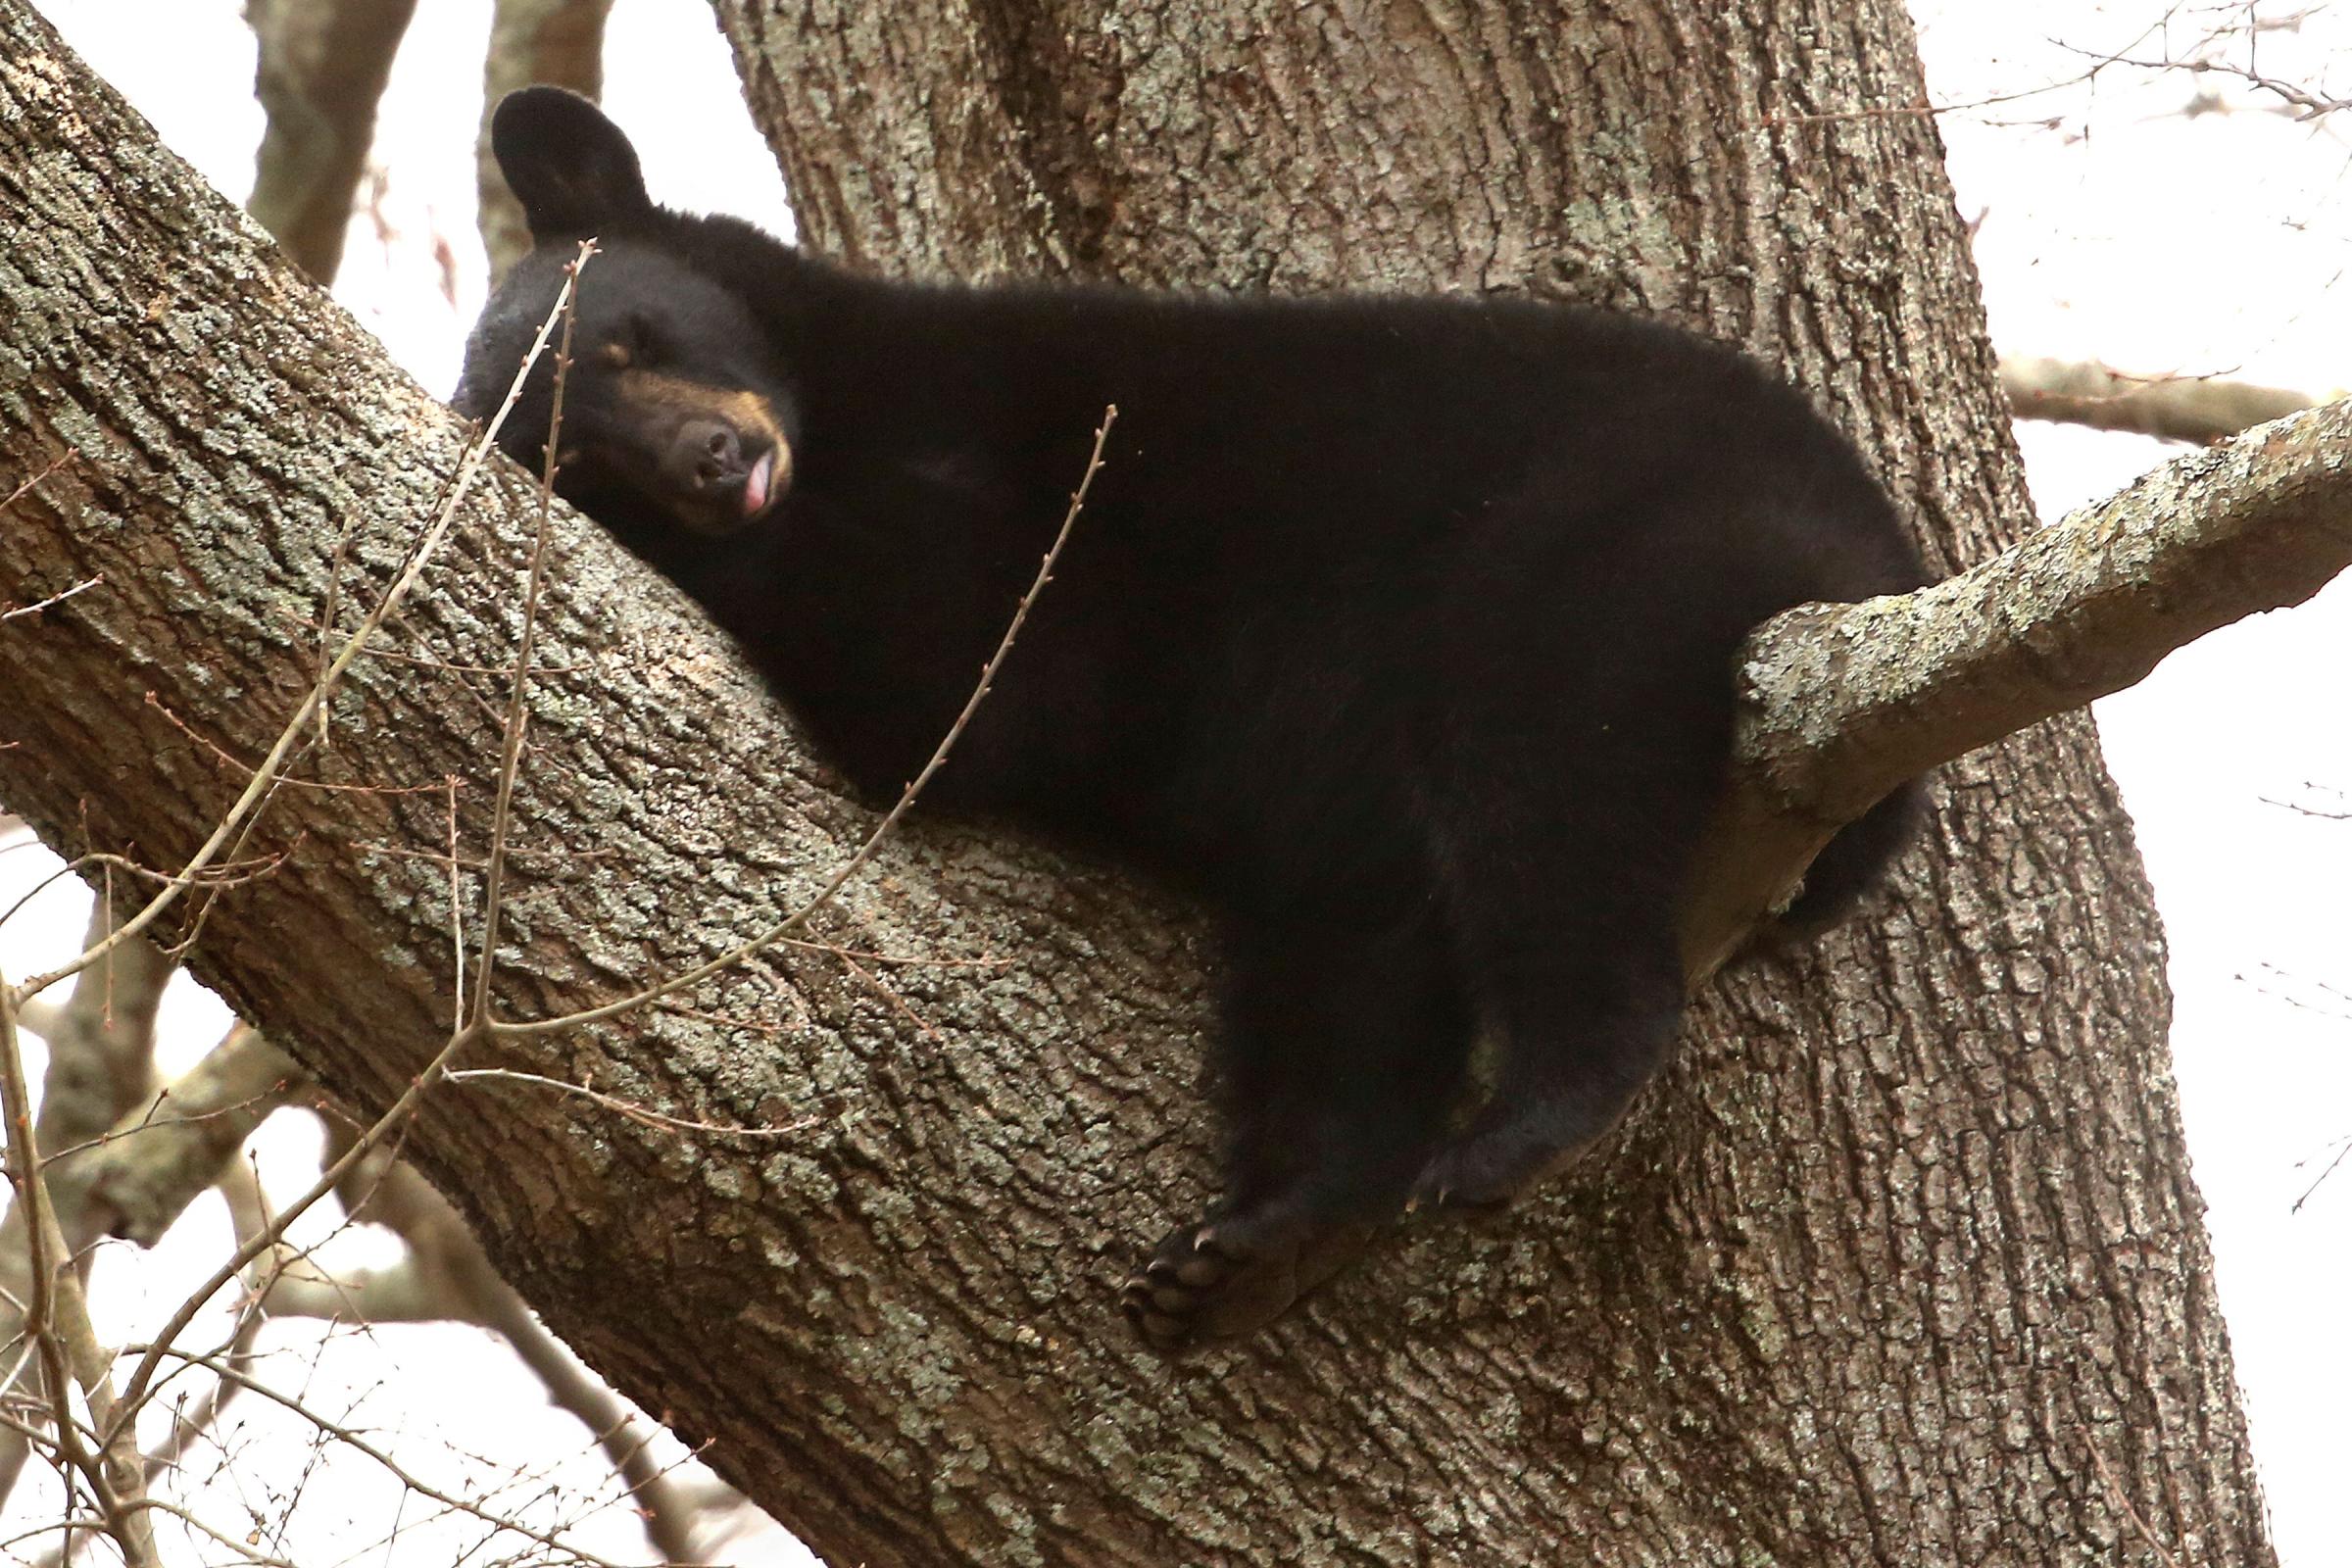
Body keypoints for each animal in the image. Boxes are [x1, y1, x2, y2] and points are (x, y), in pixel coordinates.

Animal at [455, 86, 1928, 1353]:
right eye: (579, 453)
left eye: (639, 339)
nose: (714, 467)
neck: (859, 406)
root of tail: (1873, 543)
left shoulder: (1050, 466)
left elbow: (973, 673)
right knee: (1350, 953)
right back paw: (1261, 1244)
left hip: (1613, 544)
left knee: (1546, 789)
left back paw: (1532, 1117)